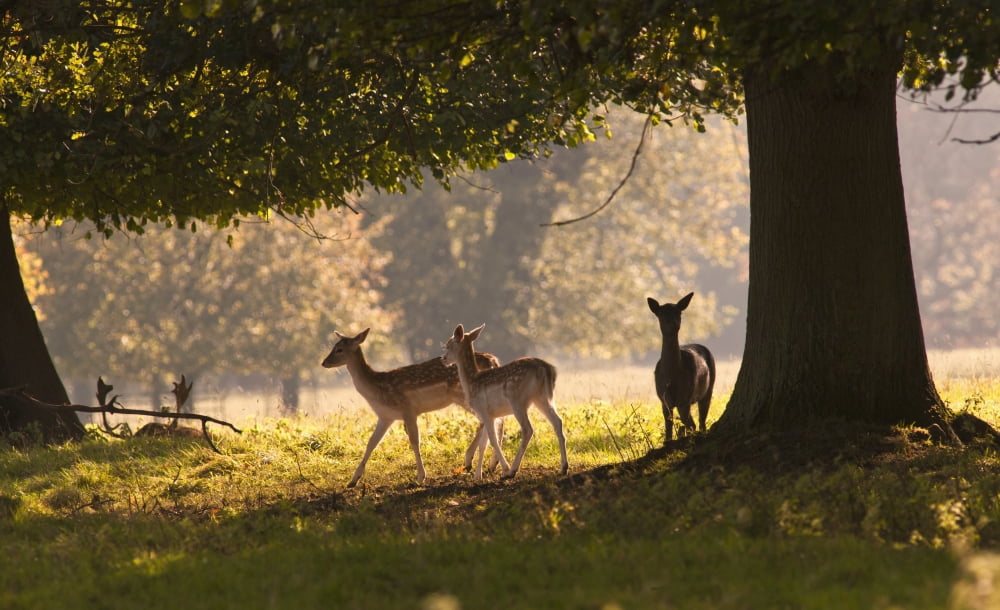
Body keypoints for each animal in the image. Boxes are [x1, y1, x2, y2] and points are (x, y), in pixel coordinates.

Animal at [322, 328, 503, 487]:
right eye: (334, 346)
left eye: (339, 349)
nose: (324, 362)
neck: (377, 389)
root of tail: (493, 361)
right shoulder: (385, 417)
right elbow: (371, 443)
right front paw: (353, 480)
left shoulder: (408, 409)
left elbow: (415, 441)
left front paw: (421, 476)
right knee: (497, 420)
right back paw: (492, 464)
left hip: (464, 396)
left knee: (489, 421)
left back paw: (470, 460)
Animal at [442, 323, 568, 481]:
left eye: (448, 344)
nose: (443, 359)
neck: (471, 383)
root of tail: (547, 369)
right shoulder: (490, 415)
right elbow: (483, 444)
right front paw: (478, 475)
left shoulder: (483, 410)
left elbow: (493, 440)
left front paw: (504, 469)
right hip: (542, 397)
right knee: (558, 421)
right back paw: (563, 467)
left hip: (517, 400)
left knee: (528, 429)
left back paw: (513, 470)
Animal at [647, 292, 716, 443]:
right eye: (661, 313)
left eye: (679, 312)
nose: (674, 323)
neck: (672, 377)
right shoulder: (663, 398)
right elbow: (669, 428)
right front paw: (668, 442)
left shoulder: (685, 397)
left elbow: (691, 425)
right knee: (686, 425)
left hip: (708, 388)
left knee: (700, 422)